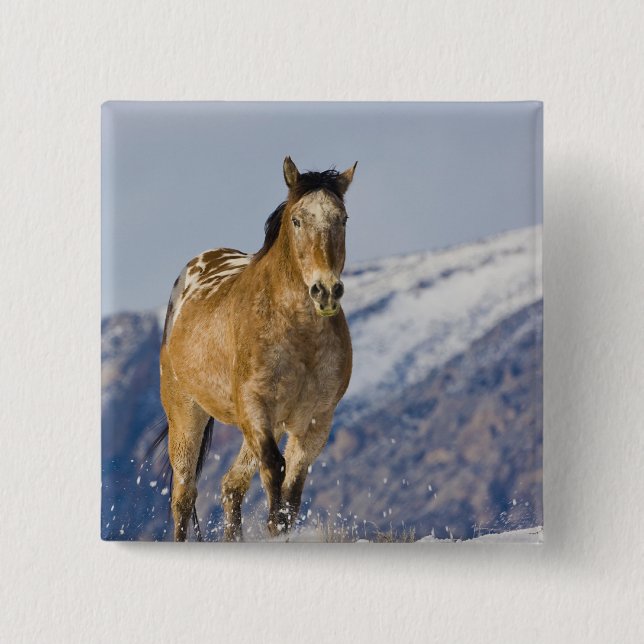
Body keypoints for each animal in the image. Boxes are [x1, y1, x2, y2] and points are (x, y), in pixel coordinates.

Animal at [158, 156, 356, 541]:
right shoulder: (255, 406)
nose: (326, 291)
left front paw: (281, 528)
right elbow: (274, 467)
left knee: (231, 485)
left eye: (342, 219)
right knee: (184, 496)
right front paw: (274, 526)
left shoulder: (315, 419)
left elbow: (293, 485)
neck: (300, 338)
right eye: (297, 220)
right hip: (186, 413)